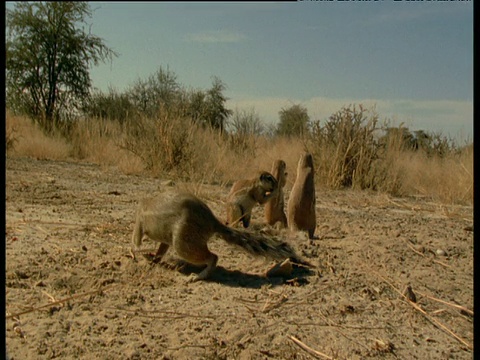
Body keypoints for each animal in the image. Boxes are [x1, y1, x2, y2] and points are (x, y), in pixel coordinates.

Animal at [130, 191, 296, 282]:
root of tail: (213, 221)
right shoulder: (165, 239)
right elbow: (161, 250)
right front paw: (154, 258)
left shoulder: (139, 222)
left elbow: (136, 241)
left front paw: (134, 253)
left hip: (183, 242)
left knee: (213, 257)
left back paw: (198, 276)